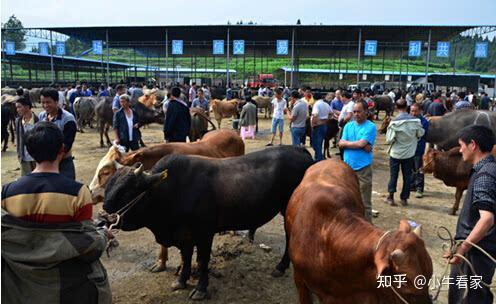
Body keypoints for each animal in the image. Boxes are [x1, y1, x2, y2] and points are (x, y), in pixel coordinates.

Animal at [103, 146, 314, 300]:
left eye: (126, 191)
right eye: (108, 187)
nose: (102, 219)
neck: (172, 191)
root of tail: (298, 149)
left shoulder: (204, 233)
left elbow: (202, 260)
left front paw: (201, 289)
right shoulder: (185, 235)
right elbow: (186, 258)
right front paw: (181, 280)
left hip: (288, 209)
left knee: (289, 236)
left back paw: (281, 266)